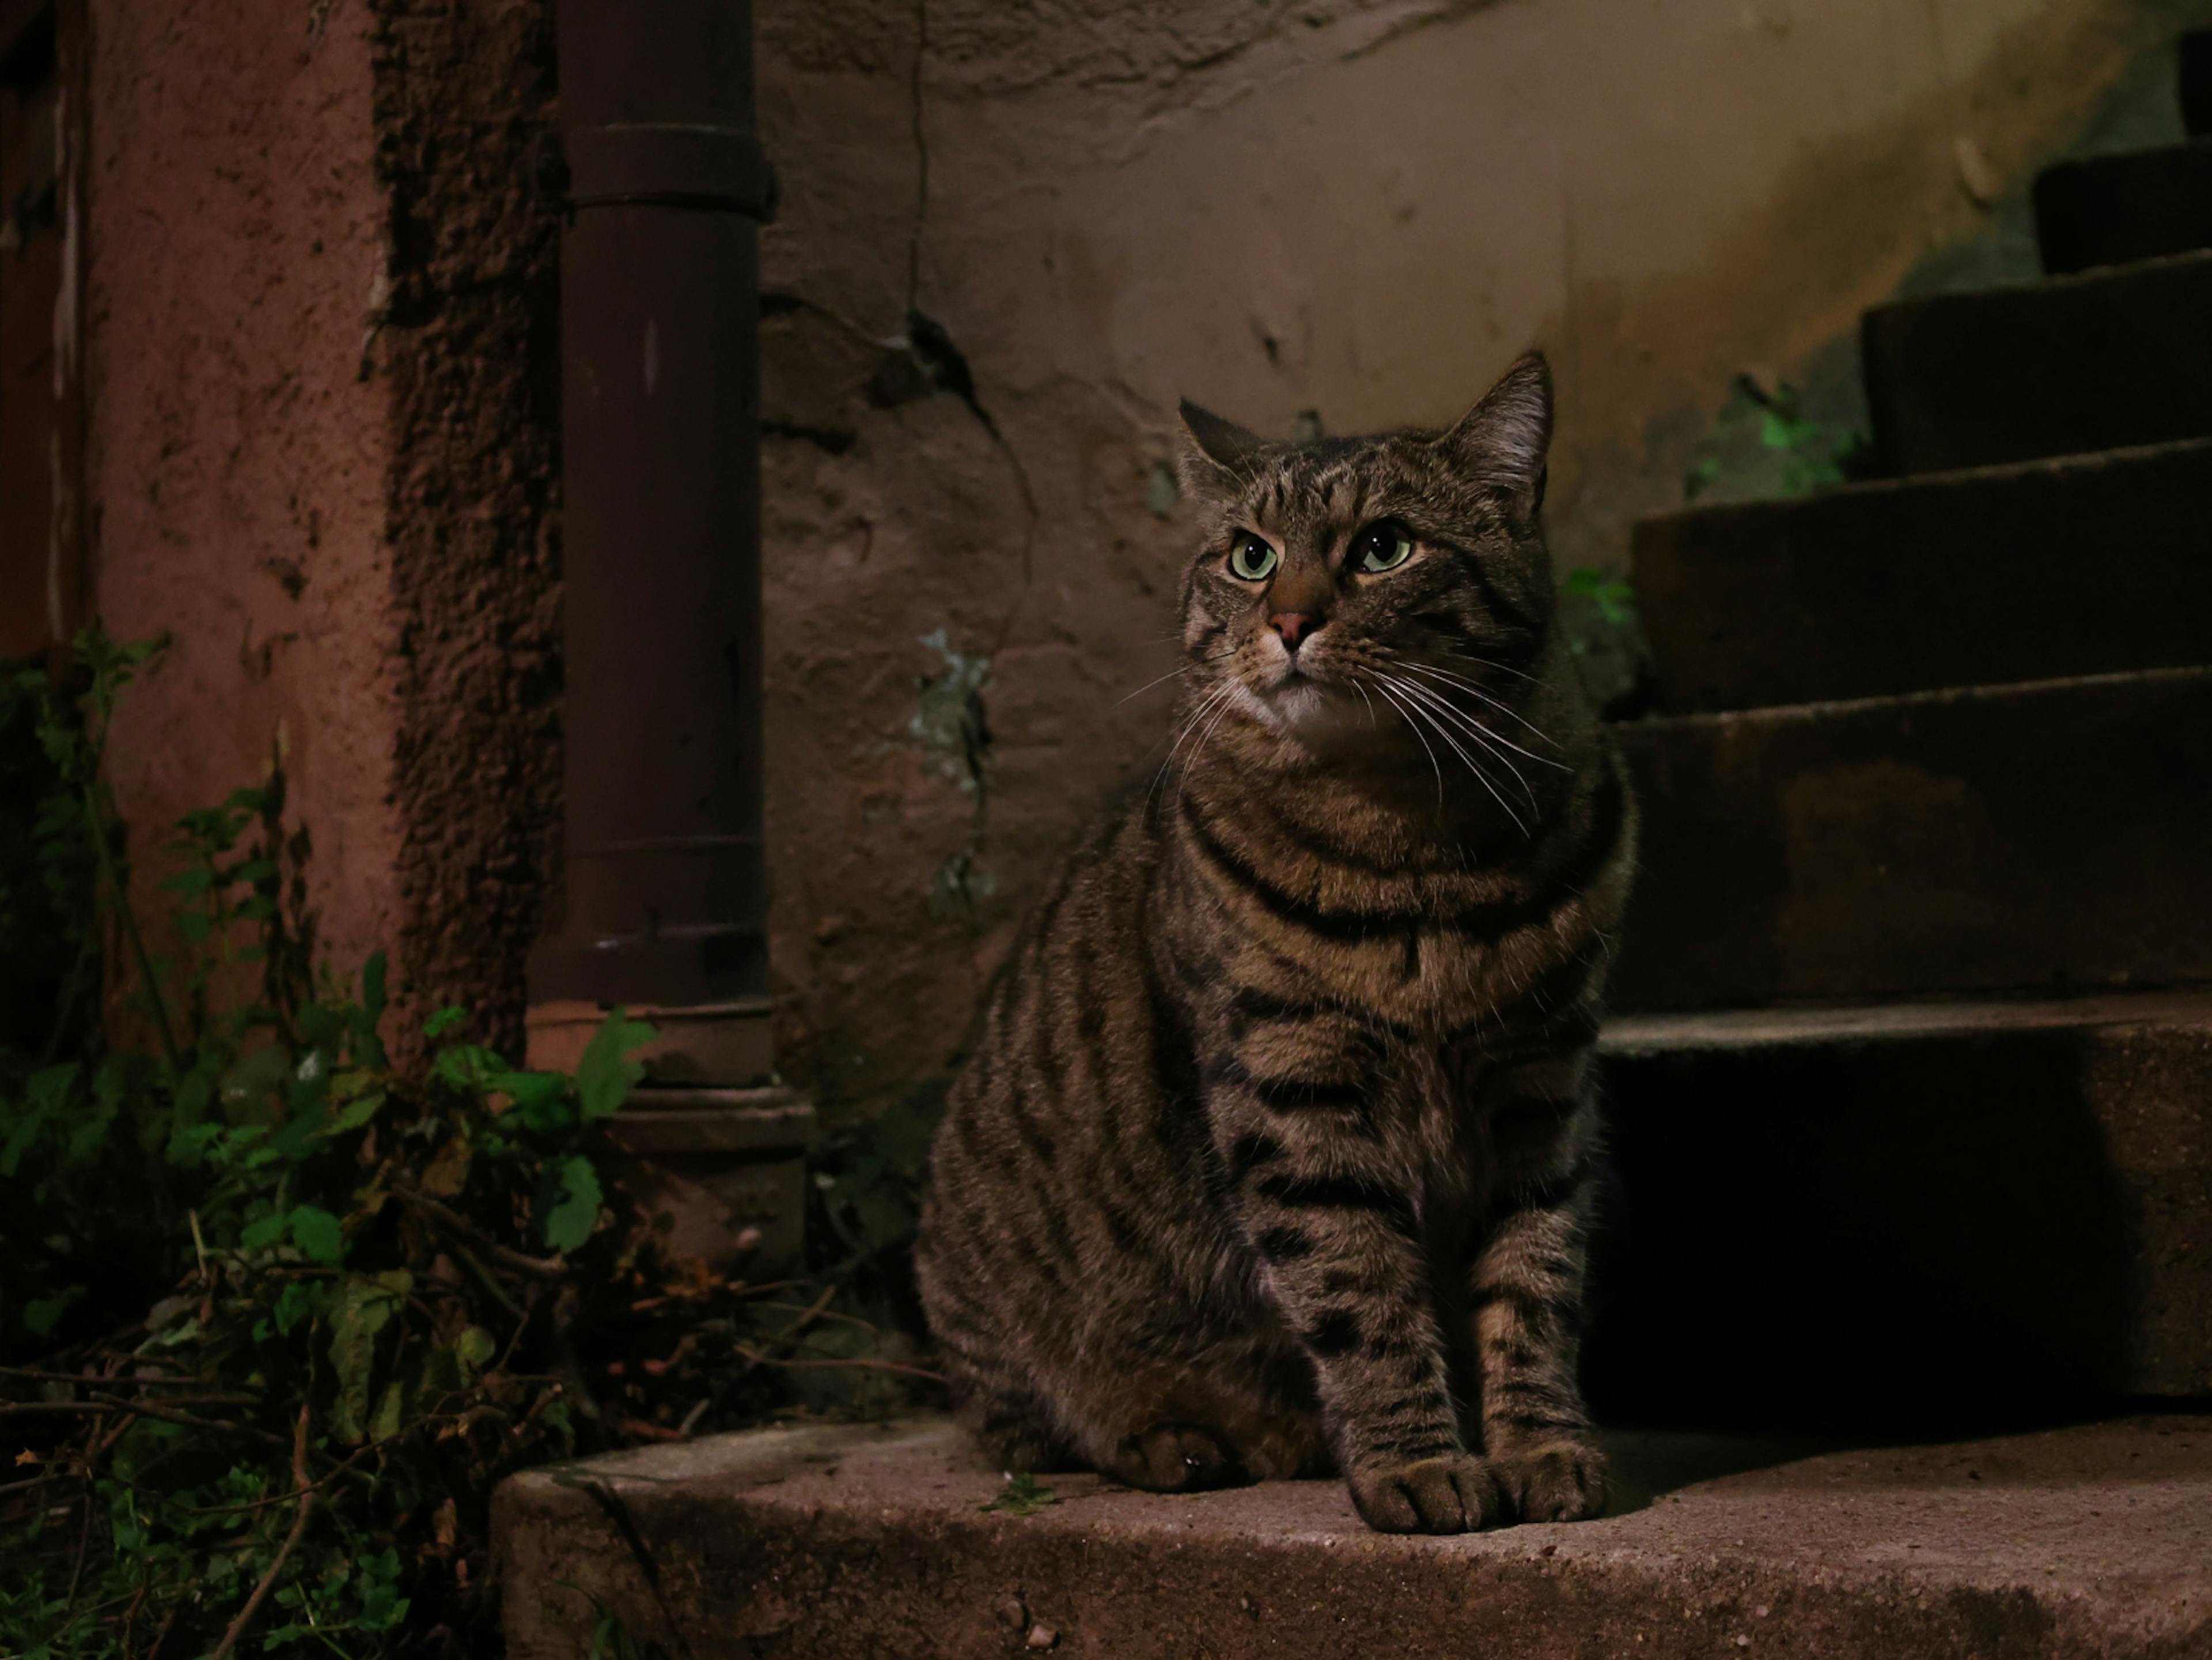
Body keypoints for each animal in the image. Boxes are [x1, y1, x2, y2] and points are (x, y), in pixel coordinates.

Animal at [907, 358, 1637, 1540]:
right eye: (1249, 555)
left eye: (1384, 546)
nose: (1289, 620)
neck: (1411, 847)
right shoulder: (1295, 1092)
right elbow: (1361, 1294)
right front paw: (1417, 1466)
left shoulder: (1543, 1085)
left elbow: (1534, 1280)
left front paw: (1542, 1445)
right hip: (1018, 1326)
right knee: (1042, 1432)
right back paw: (1184, 1440)